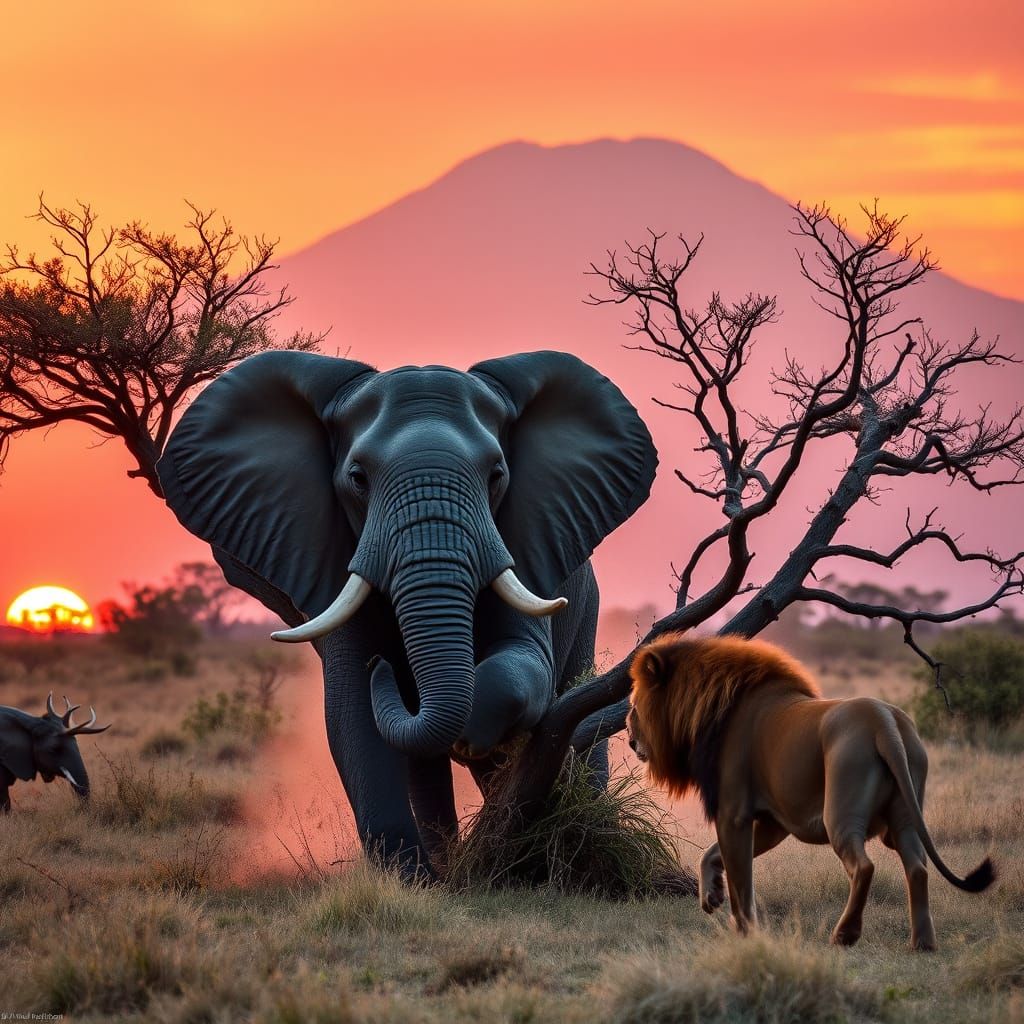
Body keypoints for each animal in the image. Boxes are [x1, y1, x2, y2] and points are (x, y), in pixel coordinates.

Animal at [157, 349, 658, 877]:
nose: (388, 667)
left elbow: (526, 662)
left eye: (497, 476)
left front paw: (471, 737)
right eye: (358, 479)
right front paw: (413, 878)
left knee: (577, 701)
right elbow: (352, 711)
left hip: (588, 605)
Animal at [626, 632, 994, 950]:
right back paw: (923, 943)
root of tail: (884, 721)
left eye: (633, 704)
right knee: (917, 868)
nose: (628, 739)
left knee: (864, 867)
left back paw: (844, 934)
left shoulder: (733, 812)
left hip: (840, 814)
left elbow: (741, 878)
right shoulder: (773, 822)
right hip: (904, 817)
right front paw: (710, 895)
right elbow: (714, 854)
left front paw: (745, 932)